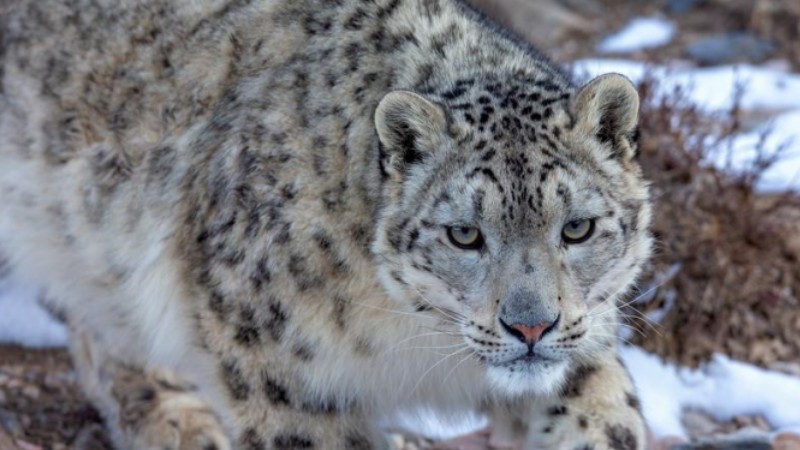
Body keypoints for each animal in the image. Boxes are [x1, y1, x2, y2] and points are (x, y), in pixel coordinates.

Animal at [0, 0, 652, 449]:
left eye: (577, 229)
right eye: (464, 234)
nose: (532, 328)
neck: (409, 338)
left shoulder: (584, 342)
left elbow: (606, 410)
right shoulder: (282, 374)